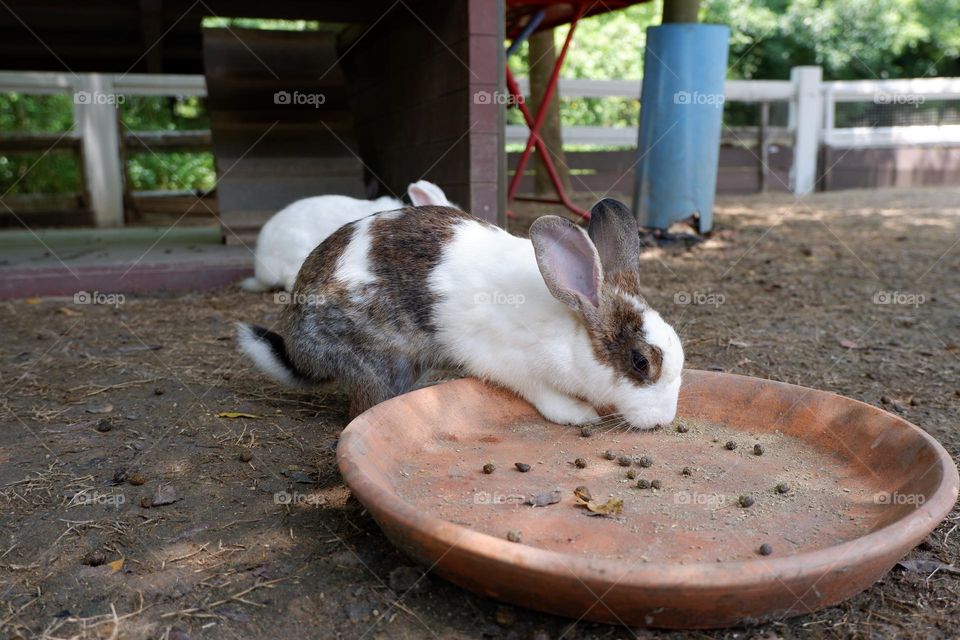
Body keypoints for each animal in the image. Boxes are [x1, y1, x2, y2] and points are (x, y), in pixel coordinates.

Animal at [236, 197, 684, 429]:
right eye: (640, 362)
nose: (664, 419)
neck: (570, 325)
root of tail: (300, 347)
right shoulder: (510, 363)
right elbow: (542, 393)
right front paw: (579, 415)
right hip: (376, 362)